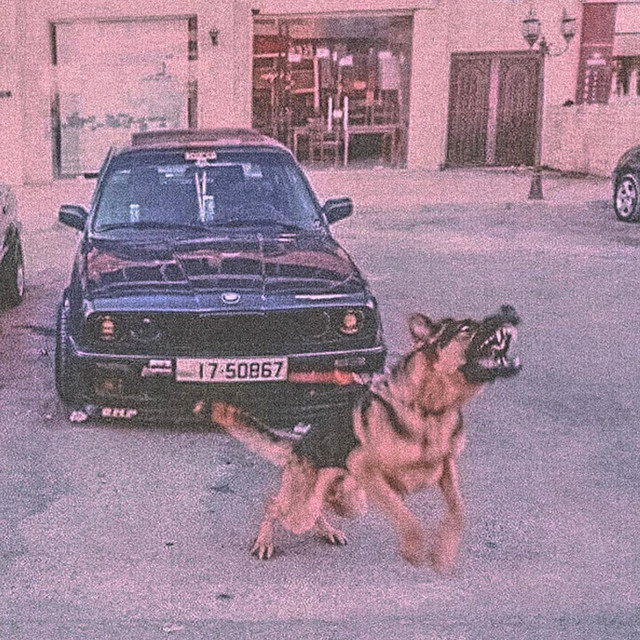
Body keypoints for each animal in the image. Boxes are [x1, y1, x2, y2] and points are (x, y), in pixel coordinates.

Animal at [209, 305, 521, 570]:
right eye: (466, 328)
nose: (509, 311)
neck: (430, 410)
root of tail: (299, 444)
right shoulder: (365, 466)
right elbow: (406, 517)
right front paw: (413, 548)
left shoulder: (447, 467)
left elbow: (458, 511)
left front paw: (444, 552)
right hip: (302, 508)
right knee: (274, 503)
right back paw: (265, 540)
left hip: (350, 501)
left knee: (320, 507)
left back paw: (330, 529)